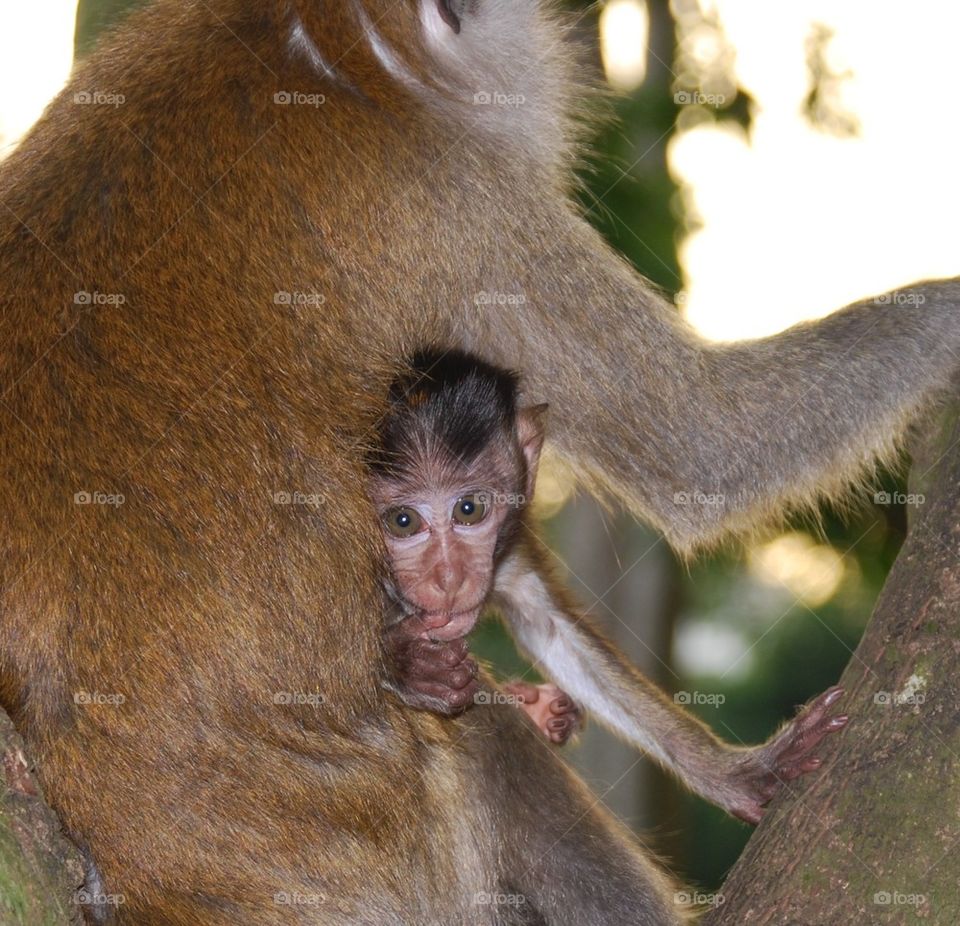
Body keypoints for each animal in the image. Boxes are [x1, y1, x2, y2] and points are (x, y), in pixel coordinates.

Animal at [372, 348, 848, 824]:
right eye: (403, 521)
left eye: (469, 509)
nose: (449, 579)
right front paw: (408, 665)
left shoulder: (509, 549)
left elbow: (551, 629)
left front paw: (737, 775)